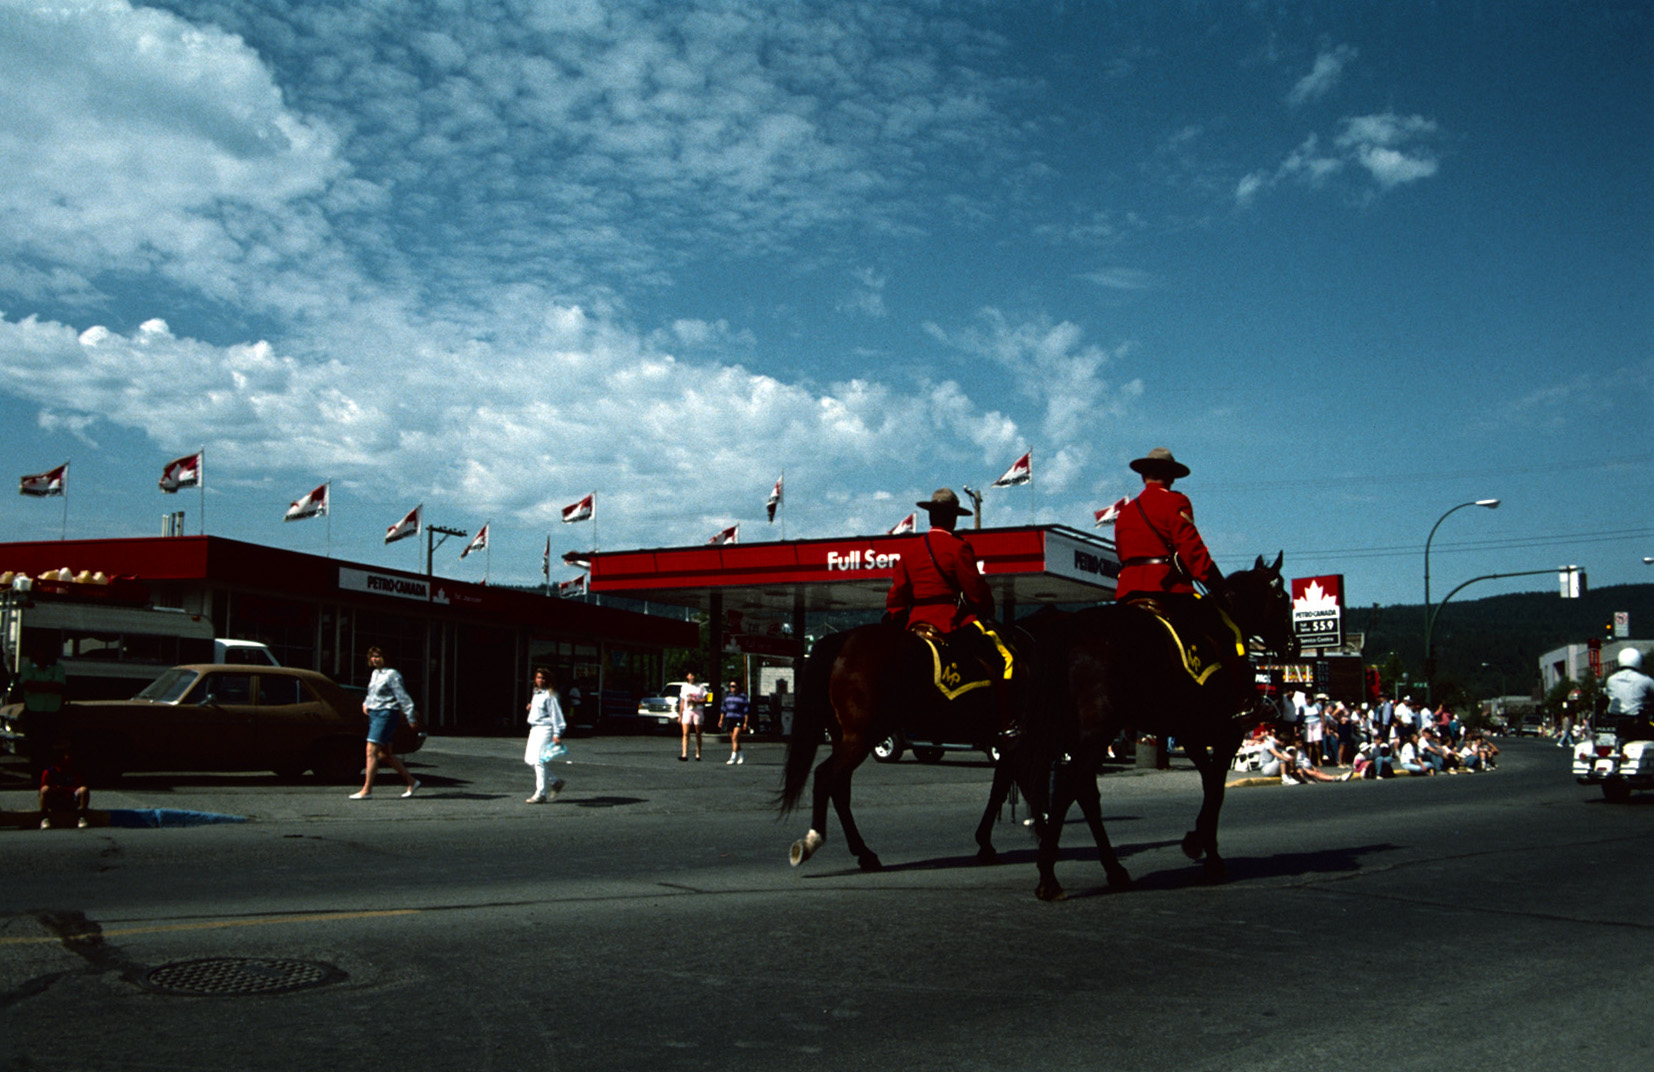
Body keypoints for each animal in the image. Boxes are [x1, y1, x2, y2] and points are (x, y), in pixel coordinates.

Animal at [1012, 552, 1296, 893]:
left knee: (1085, 792)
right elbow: (1216, 787)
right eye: (1283, 598)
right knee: (1071, 786)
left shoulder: (1191, 734)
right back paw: (1049, 877)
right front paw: (1204, 849)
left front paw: (1204, 846)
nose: (1293, 646)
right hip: (1098, 733)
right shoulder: (1227, 732)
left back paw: (1114, 870)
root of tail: (1069, 627)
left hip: (1074, 734)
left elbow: (1209, 782)